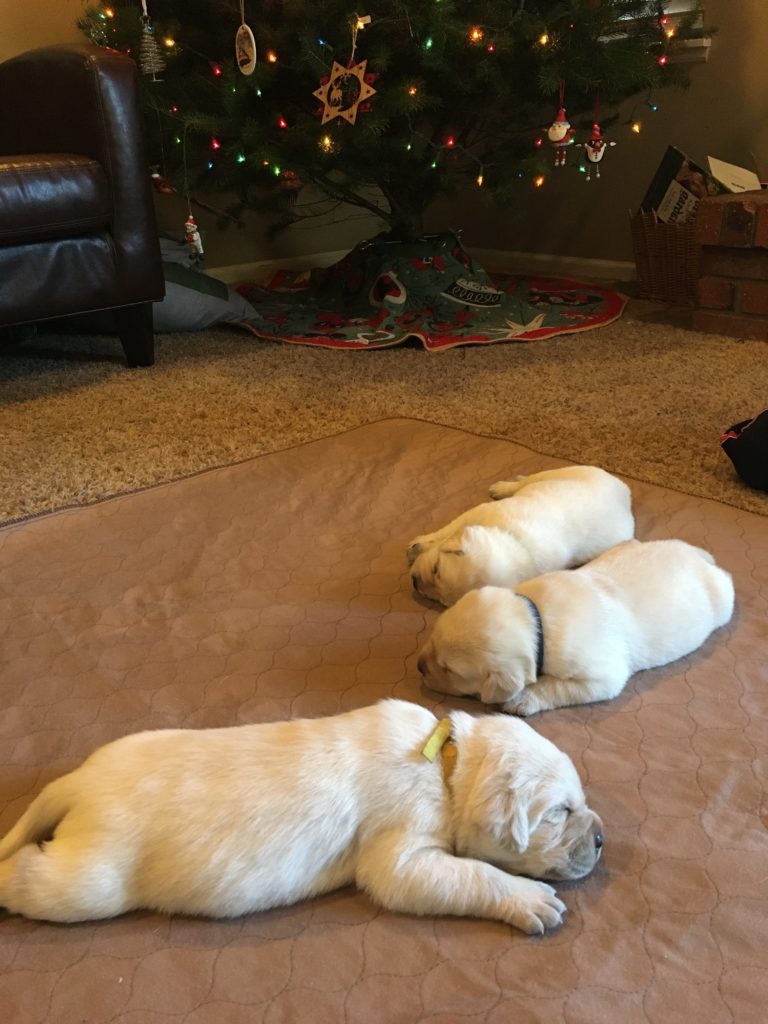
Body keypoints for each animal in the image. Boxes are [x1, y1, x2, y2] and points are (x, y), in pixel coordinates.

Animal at [417, 540, 737, 716]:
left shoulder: (601, 678)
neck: (536, 617)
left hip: (723, 599)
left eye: (449, 670)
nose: (419, 667)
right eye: (432, 638)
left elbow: (558, 687)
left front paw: (523, 700)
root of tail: (701, 560)